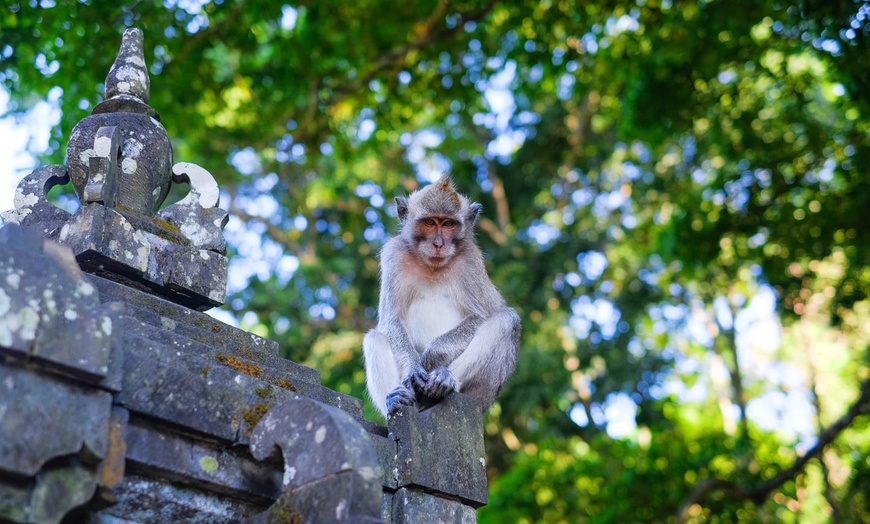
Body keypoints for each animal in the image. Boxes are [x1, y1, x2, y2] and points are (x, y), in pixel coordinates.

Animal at [364, 176, 520, 418]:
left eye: (448, 224)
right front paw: (413, 368)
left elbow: (480, 316)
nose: (439, 244)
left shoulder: (470, 260)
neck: (431, 266)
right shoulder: (394, 254)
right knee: (375, 338)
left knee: (506, 321)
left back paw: (445, 380)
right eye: (430, 223)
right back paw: (396, 399)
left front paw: (431, 357)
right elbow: (391, 319)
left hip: (482, 395)